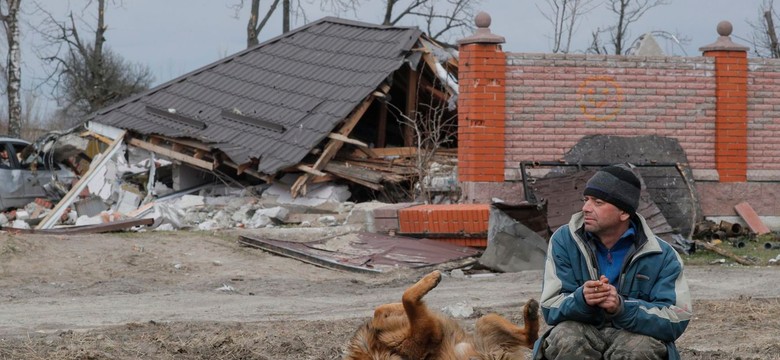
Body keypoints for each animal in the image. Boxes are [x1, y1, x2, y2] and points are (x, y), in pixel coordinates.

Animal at [344, 270, 540, 360]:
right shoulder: (425, 332)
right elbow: (407, 298)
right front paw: (431, 278)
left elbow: (384, 307)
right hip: (485, 325)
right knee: (531, 340)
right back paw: (531, 313)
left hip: (487, 321)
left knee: (530, 338)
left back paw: (530, 312)